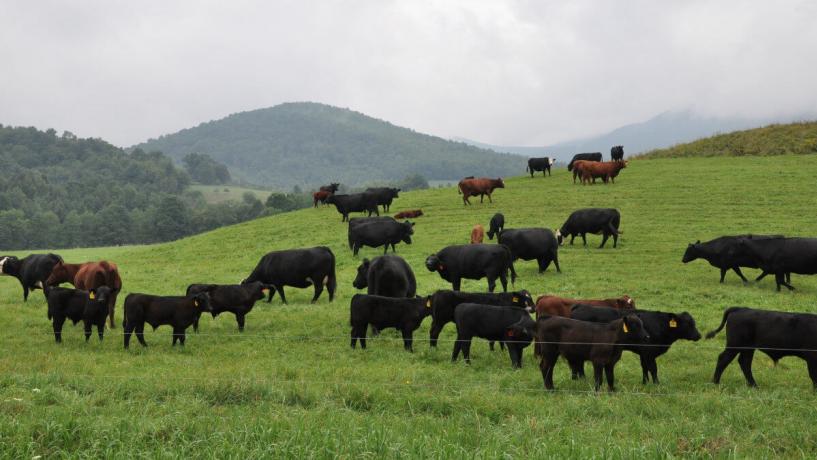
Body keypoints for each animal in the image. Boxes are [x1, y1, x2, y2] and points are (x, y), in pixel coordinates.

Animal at [568, 306, 700, 384]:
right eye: (688, 324)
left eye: (693, 322)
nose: (698, 335)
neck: (660, 325)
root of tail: (579, 306)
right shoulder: (649, 352)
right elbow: (653, 368)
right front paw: (656, 384)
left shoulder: (644, 353)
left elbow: (644, 367)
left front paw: (645, 382)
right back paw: (581, 378)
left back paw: (578, 378)